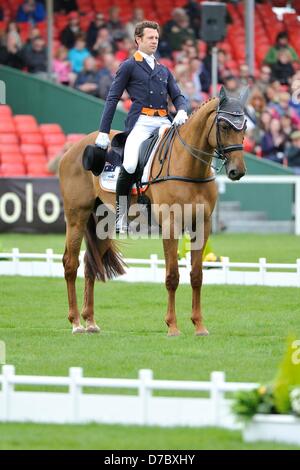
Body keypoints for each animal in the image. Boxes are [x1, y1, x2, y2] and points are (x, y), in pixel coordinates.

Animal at [59, 87, 247, 334]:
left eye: (245, 126)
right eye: (224, 126)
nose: (237, 171)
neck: (189, 166)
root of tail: (74, 147)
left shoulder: (202, 226)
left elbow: (197, 275)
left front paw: (199, 326)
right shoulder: (171, 225)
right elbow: (172, 276)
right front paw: (172, 326)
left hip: (103, 223)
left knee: (91, 266)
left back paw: (90, 321)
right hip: (77, 216)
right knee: (71, 264)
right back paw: (75, 323)